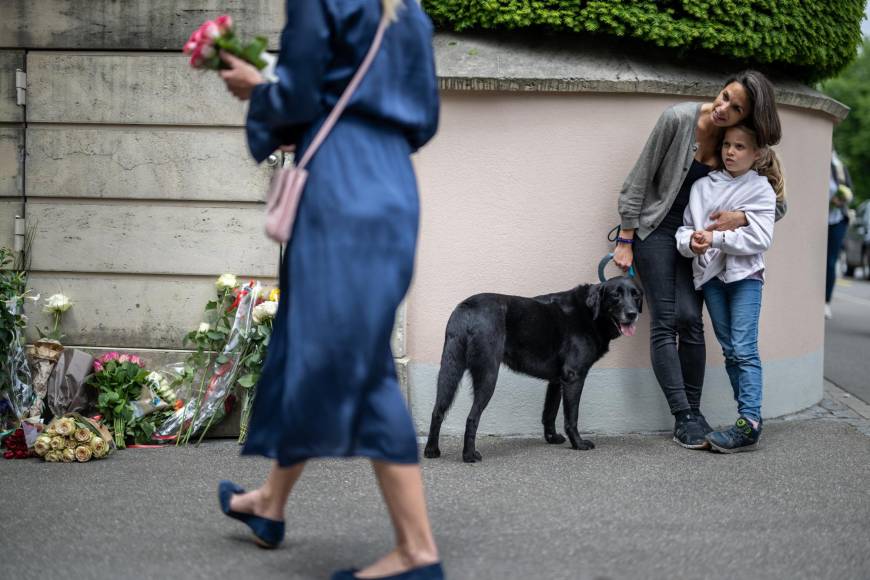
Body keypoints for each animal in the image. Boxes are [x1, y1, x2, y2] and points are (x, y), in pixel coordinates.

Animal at [426, 276, 644, 462]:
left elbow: (550, 412)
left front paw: (552, 438)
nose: (632, 314)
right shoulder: (574, 376)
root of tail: (466, 308)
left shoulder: (557, 380)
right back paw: (470, 455)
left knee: (437, 411)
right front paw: (578, 443)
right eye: (615, 295)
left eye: (636, 295)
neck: (591, 314)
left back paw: (431, 450)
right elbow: (571, 416)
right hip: (487, 375)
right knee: (472, 417)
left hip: (449, 369)